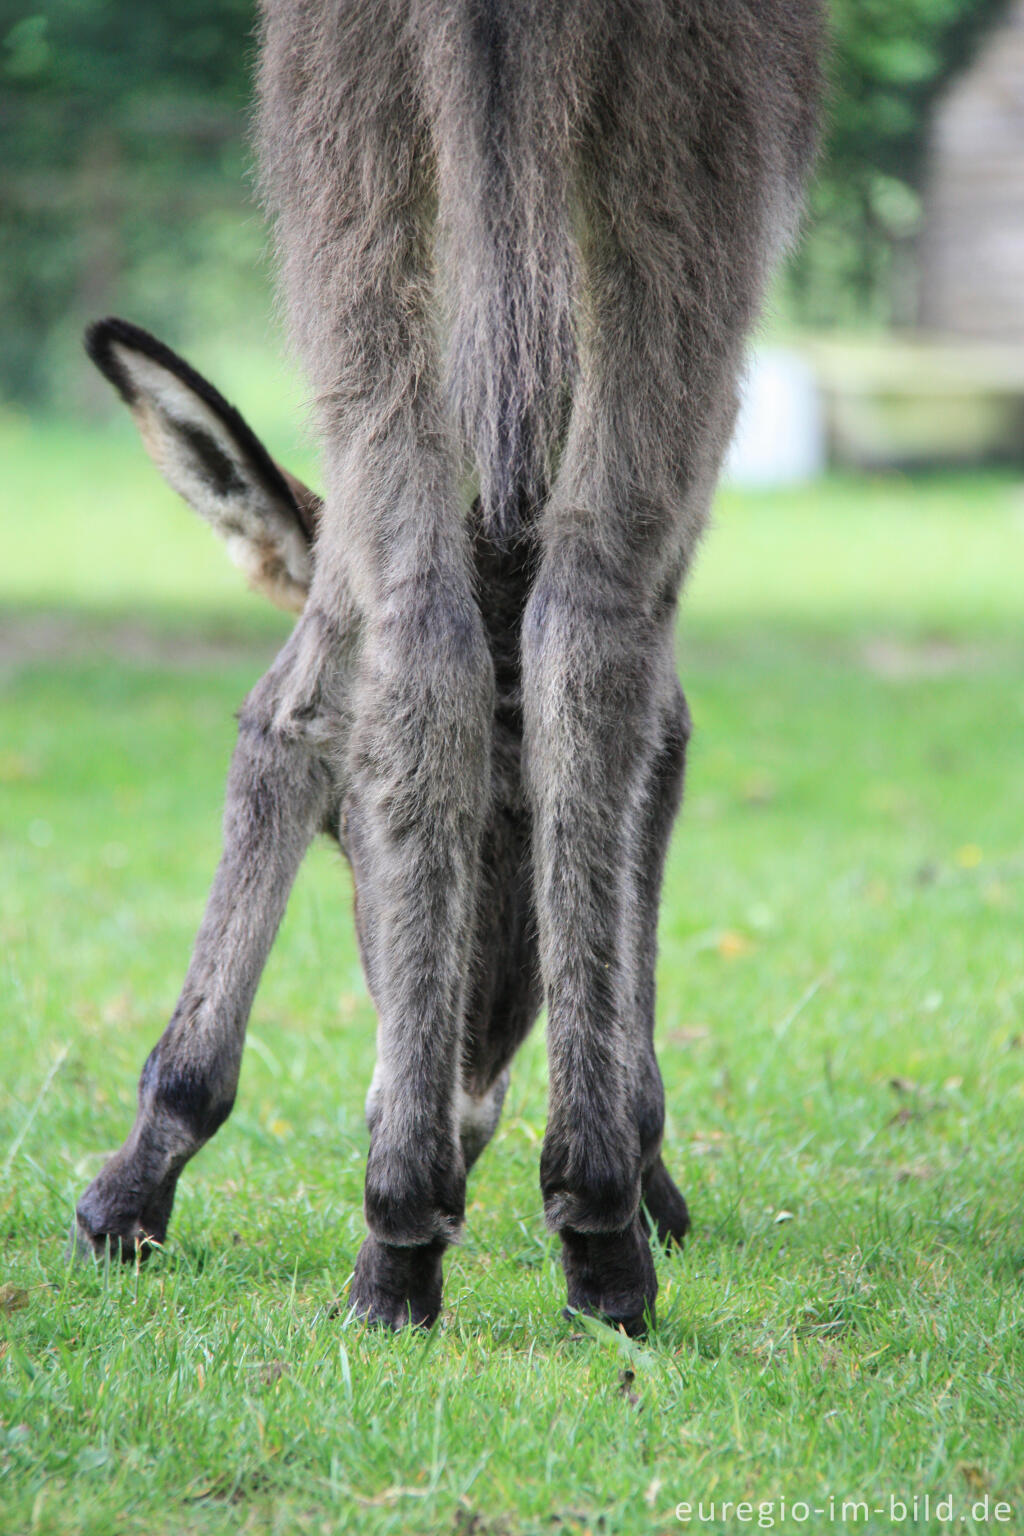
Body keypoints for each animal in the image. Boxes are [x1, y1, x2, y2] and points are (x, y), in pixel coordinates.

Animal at [74, 0, 822, 1333]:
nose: (472, 1098)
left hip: (375, 182)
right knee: (562, 640)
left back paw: (430, 1229)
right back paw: (551, 1221)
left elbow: (306, 704)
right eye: (343, 833)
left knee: (449, 652)